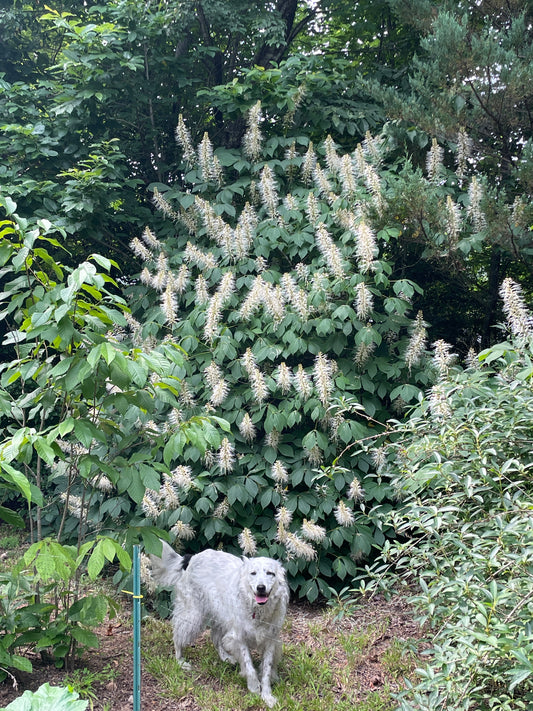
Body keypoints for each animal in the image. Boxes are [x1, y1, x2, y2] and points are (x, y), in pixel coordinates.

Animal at [148, 544, 288, 708]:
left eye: (270, 573)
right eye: (253, 573)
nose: (261, 587)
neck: (257, 610)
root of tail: (191, 558)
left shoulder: (270, 641)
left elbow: (266, 670)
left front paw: (267, 696)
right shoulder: (239, 638)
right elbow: (249, 665)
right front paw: (253, 687)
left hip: (219, 616)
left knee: (214, 637)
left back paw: (225, 657)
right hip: (193, 615)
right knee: (177, 636)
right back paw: (180, 661)